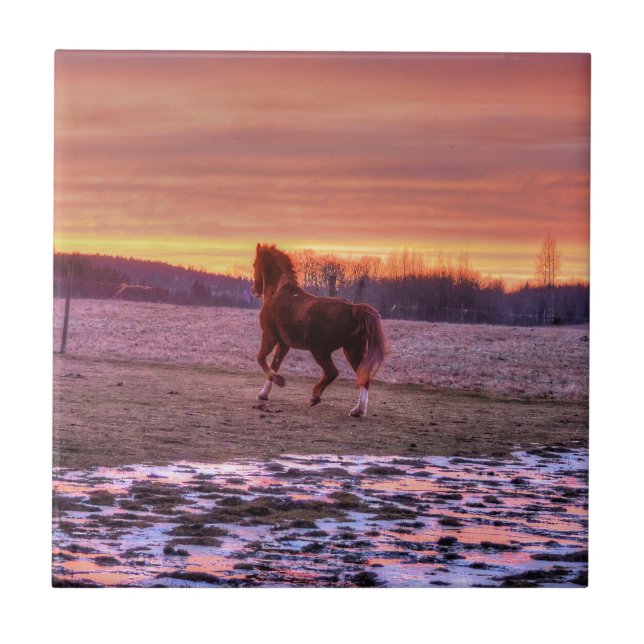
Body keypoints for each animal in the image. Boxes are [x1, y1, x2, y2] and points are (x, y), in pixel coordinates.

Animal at [251, 243, 387, 417]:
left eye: (254, 265)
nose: (254, 290)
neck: (278, 293)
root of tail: (353, 309)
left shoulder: (269, 336)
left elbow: (261, 359)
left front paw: (279, 382)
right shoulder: (283, 344)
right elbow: (275, 365)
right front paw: (264, 394)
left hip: (320, 351)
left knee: (332, 372)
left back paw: (315, 397)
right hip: (353, 350)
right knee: (363, 376)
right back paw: (358, 410)